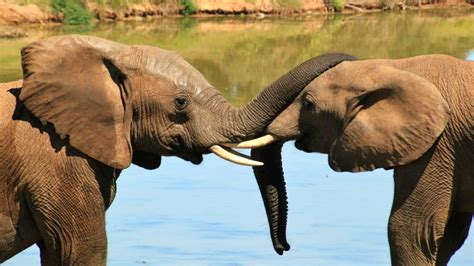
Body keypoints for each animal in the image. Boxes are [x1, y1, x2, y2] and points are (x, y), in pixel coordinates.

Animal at [231, 55, 472, 264]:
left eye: (308, 104)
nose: (284, 248)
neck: (397, 67)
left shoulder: (437, 146)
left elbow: (411, 230)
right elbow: (449, 235)